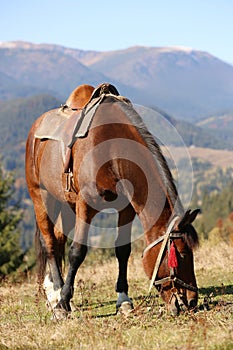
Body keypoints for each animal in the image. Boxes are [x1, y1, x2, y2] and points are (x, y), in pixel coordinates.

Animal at [25, 83, 198, 318]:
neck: (114, 151)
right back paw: (56, 297)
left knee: (58, 240)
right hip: (40, 197)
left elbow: (122, 250)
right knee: (50, 243)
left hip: (65, 203)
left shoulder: (126, 208)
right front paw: (63, 303)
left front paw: (123, 300)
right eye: (181, 255)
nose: (192, 301)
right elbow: (77, 252)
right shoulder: (85, 205)